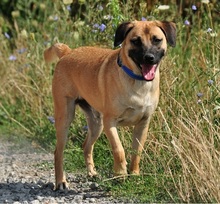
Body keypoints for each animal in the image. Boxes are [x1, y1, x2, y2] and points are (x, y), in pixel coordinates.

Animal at [43, 19, 176, 190]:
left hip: (96, 123)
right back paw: (60, 181)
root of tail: (67, 52)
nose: (149, 58)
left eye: (157, 40)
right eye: (135, 41)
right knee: (58, 152)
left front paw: (134, 174)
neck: (137, 81)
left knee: (86, 145)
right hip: (65, 118)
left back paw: (91, 173)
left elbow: (136, 153)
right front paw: (120, 173)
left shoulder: (143, 124)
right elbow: (119, 150)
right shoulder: (110, 122)